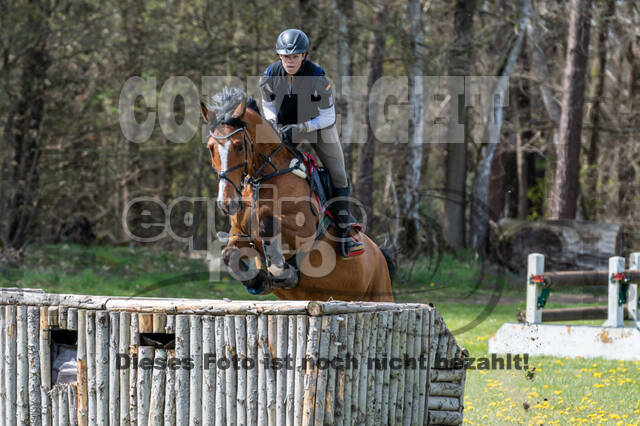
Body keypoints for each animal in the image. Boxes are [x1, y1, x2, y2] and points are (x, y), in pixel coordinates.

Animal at [200, 86, 392, 302]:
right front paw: (258, 280)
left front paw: (282, 272)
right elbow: (228, 254)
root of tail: (379, 254)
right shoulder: (239, 233)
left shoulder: (305, 228)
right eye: (210, 148)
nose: (226, 204)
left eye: (239, 146)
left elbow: (267, 225)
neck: (263, 179)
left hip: (381, 294)